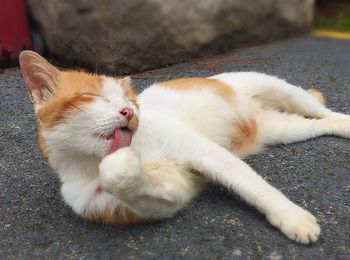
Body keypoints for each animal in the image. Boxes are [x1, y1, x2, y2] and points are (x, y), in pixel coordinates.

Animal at [19, 50, 350, 244]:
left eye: (130, 101)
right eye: (90, 97)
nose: (129, 113)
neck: (91, 161)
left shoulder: (202, 151)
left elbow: (254, 186)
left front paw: (292, 217)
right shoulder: (164, 195)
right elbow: (122, 177)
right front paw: (124, 166)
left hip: (281, 90)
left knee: (323, 111)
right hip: (284, 129)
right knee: (321, 124)